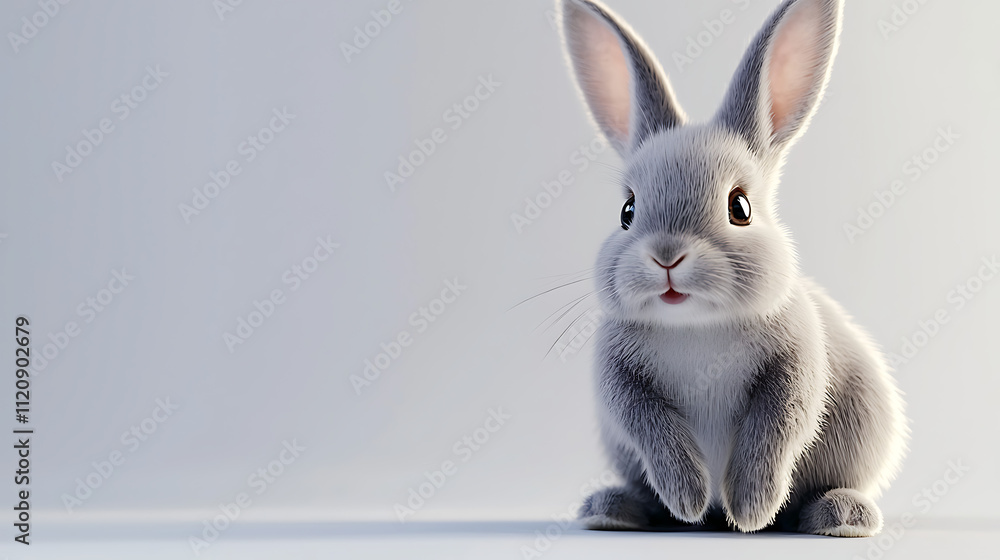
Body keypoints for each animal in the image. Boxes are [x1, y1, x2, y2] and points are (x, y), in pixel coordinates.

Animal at [557, 0, 908, 536]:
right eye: (627, 211)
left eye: (739, 207)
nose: (667, 256)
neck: (696, 326)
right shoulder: (621, 382)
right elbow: (650, 426)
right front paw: (689, 498)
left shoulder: (795, 366)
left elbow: (776, 427)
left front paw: (750, 509)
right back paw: (615, 509)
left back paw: (840, 515)